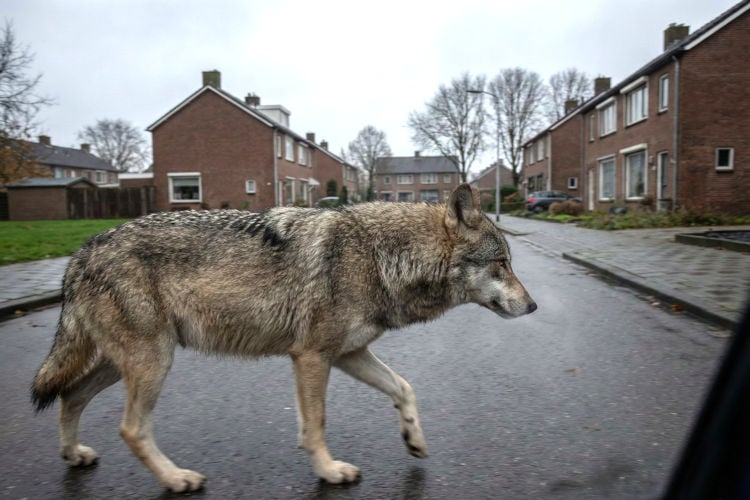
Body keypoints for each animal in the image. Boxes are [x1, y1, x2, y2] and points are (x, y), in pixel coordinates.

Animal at [31, 184, 536, 492]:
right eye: (503, 264)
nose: (533, 306)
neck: (380, 256)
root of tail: (80, 254)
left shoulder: (349, 354)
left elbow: (405, 388)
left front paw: (413, 439)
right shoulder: (312, 356)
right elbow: (316, 425)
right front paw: (329, 471)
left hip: (124, 364)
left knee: (70, 396)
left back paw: (73, 454)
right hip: (152, 362)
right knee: (130, 428)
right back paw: (176, 479)